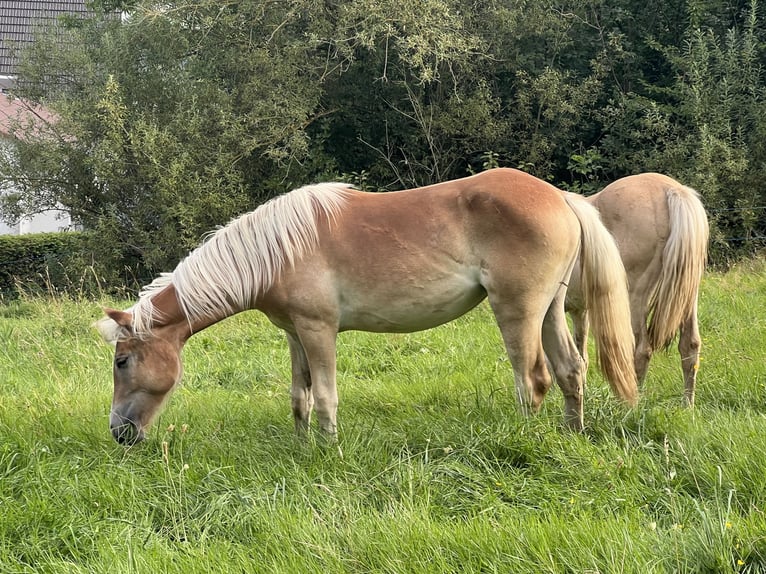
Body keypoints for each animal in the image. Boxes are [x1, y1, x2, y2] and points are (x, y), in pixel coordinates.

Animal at [93, 166, 640, 446]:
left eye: (123, 361)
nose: (119, 433)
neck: (278, 250)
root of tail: (561, 197)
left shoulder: (319, 330)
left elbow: (326, 396)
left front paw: (328, 454)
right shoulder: (295, 333)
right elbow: (299, 397)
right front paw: (302, 449)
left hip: (518, 311)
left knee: (533, 381)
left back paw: (526, 442)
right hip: (550, 309)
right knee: (571, 371)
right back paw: (573, 435)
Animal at [568, 173, 712, 408]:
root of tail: (672, 190)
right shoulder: (580, 310)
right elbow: (580, 355)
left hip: (635, 298)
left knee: (642, 350)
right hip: (687, 297)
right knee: (690, 346)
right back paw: (687, 406)